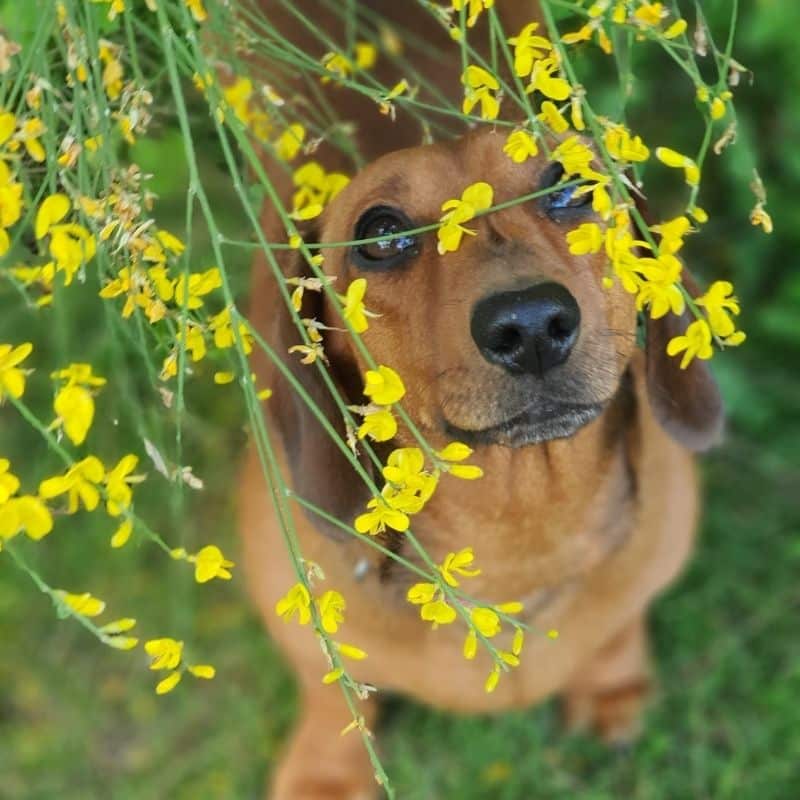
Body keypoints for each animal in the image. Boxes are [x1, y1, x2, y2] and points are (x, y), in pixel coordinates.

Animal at [239, 3, 724, 796]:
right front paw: (327, 770)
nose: (529, 325)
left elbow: (617, 629)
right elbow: (332, 688)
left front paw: (611, 686)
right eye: (380, 233)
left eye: (571, 186)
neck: (518, 532)